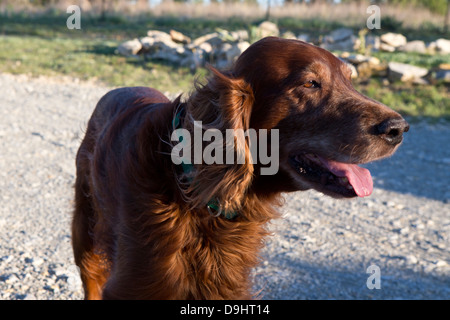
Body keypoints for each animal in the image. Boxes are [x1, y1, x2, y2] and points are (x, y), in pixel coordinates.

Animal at [72, 38, 410, 300]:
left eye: (350, 82)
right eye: (310, 83)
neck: (193, 191)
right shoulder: (135, 284)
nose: (399, 128)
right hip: (86, 236)